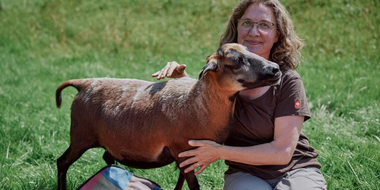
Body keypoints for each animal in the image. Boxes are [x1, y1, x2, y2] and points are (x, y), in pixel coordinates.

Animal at [55, 43, 282, 190]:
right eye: (235, 61)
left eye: (249, 51)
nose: (276, 69)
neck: (198, 105)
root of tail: (85, 82)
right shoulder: (181, 150)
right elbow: (193, 185)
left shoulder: (185, 156)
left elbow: (181, 182)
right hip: (80, 137)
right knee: (62, 162)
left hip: (107, 140)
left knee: (107, 158)